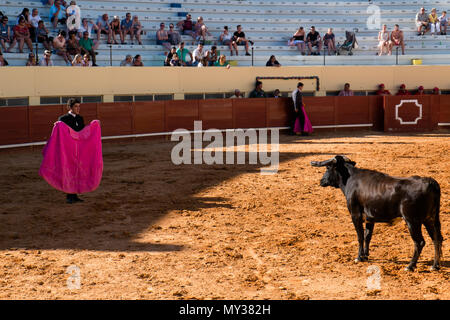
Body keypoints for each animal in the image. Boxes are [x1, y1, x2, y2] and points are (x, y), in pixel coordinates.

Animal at [312, 156, 442, 272]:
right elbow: (367, 236)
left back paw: (410, 266)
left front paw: (359, 257)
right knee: (437, 238)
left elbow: (360, 236)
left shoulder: (355, 215)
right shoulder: (370, 218)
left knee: (419, 242)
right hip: (429, 219)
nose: (321, 181)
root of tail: (429, 181)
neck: (350, 179)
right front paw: (365, 256)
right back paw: (435, 266)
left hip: (412, 221)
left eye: (328, 167)